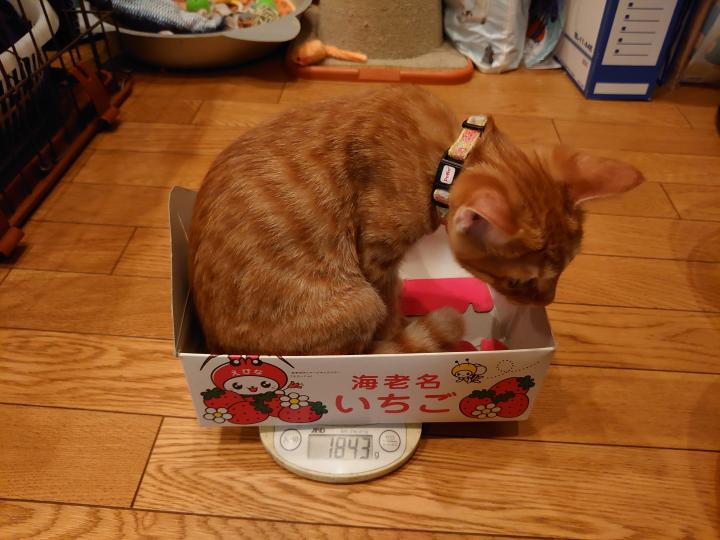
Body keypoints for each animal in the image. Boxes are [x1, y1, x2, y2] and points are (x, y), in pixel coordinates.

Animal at [188, 85, 643, 356]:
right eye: (518, 283)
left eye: (564, 271)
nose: (546, 302)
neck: (448, 156)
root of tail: (215, 342)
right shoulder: (376, 261)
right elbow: (389, 305)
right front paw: (395, 332)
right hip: (358, 303)